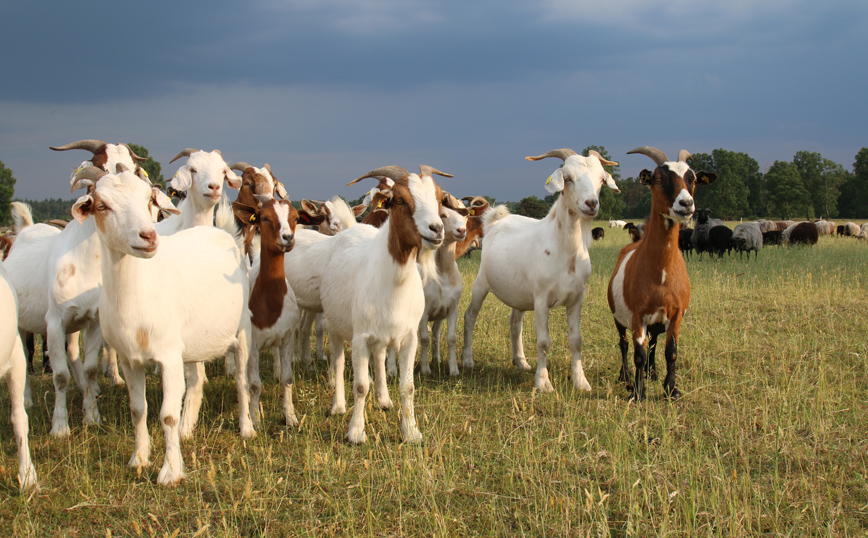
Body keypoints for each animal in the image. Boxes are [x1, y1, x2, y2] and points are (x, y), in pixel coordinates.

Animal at [71, 165, 254, 484]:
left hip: (242, 330)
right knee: (196, 381)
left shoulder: (168, 356)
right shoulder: (130, 360)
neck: (139, 289)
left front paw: (170, 471)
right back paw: (187, 429)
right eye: (102, 205)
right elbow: (137, 410)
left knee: (241, 380)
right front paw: (139, 459)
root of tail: (221, 233)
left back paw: (246, 428)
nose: (148, 236)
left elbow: (167, 415)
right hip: (192, 343)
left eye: (148, 200)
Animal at [324, 165, 450, 442]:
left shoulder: (409, 337)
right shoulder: (360, 337)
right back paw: (338, 406)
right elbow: (361, 386)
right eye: (400, 200)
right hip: (334, 325)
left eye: (438, 199)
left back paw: (384, 400)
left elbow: (408, 386)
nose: (436, 229)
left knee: (380, 358)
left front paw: (411, 432)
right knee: (338, 361)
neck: (395, 282)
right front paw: (356, 432)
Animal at [464, 149, 620, 392]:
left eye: (602, 180)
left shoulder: (577, 298)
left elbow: (576, 340)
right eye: (568, 178)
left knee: (515, 323)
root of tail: (494, 221)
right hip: (481, 283)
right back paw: (468, 359)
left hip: (519, 293)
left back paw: (521, 361)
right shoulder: (541, 299)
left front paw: (581, 381)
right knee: (470, 316)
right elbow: (544, 341)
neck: (566, 253)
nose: (591, 203)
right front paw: (544, 383)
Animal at [608, 144, 716, 400]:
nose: (686, 204)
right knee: (623, 343)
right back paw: (625, 377)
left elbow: (671, 351)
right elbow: (638, 353)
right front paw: (638, 392)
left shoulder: (675, 315)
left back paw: (653, 372)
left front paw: (672, 389)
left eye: (692, 179)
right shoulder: (638, 315)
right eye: (658, 179)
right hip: (619, 317)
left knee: (654, 342)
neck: (662, 275)